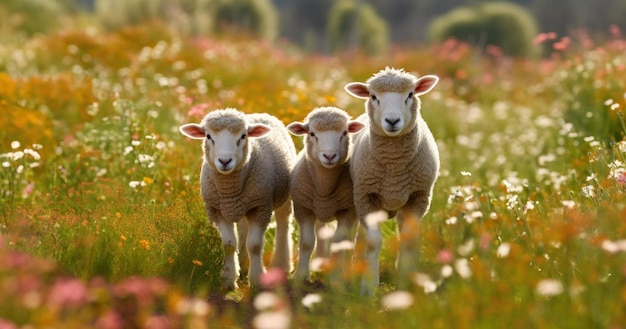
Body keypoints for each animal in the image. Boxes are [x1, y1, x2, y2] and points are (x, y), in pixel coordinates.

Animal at [178, 108, 294, 290]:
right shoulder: (217, 210)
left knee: (284, 225)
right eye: (208, 136)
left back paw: (282, 265)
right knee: (244, 229)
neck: (229, 189)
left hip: (284, 196)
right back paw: (244, 265)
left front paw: (256, 279)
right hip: (244, 205)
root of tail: (259, 113)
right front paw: (228, 279)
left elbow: (255, 245)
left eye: (243, 136)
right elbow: (229, 245)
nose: (225, 161)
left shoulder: (261, 207)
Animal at [284, 106, 366, 284]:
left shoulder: (347, 211)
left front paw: (336, 278)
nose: (329, 156)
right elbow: (307, 242)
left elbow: (339, 242)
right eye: (312, 133)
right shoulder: (303, 208)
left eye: (344, 133)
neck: (325, 187)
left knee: (349, 241)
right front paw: (301, 277)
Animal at [344, 66, 442, 294]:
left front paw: (406, 282)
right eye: (373, 96)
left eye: (410, 94)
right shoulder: (366, 197)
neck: (394, 168)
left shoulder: (419, 197)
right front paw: (368, 287)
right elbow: (373, 242)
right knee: (361, 237)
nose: (392, 121)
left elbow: (408, 240)